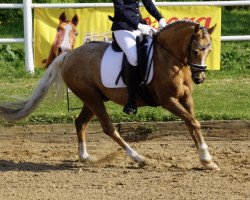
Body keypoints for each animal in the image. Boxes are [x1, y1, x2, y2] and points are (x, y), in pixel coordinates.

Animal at [0, 19, 219, 170]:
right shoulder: (168, 100)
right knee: (109, 128)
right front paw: (207, 159)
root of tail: (68, 55)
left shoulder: (186, 98)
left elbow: (192, 123)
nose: (199, 77)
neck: (168, 58)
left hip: (92, 99)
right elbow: (193, 122)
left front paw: (206, 159)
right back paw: (138, 158)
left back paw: (85, 157)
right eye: (195, 50)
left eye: (208, 51)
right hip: (93, 99)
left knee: (80, 123)